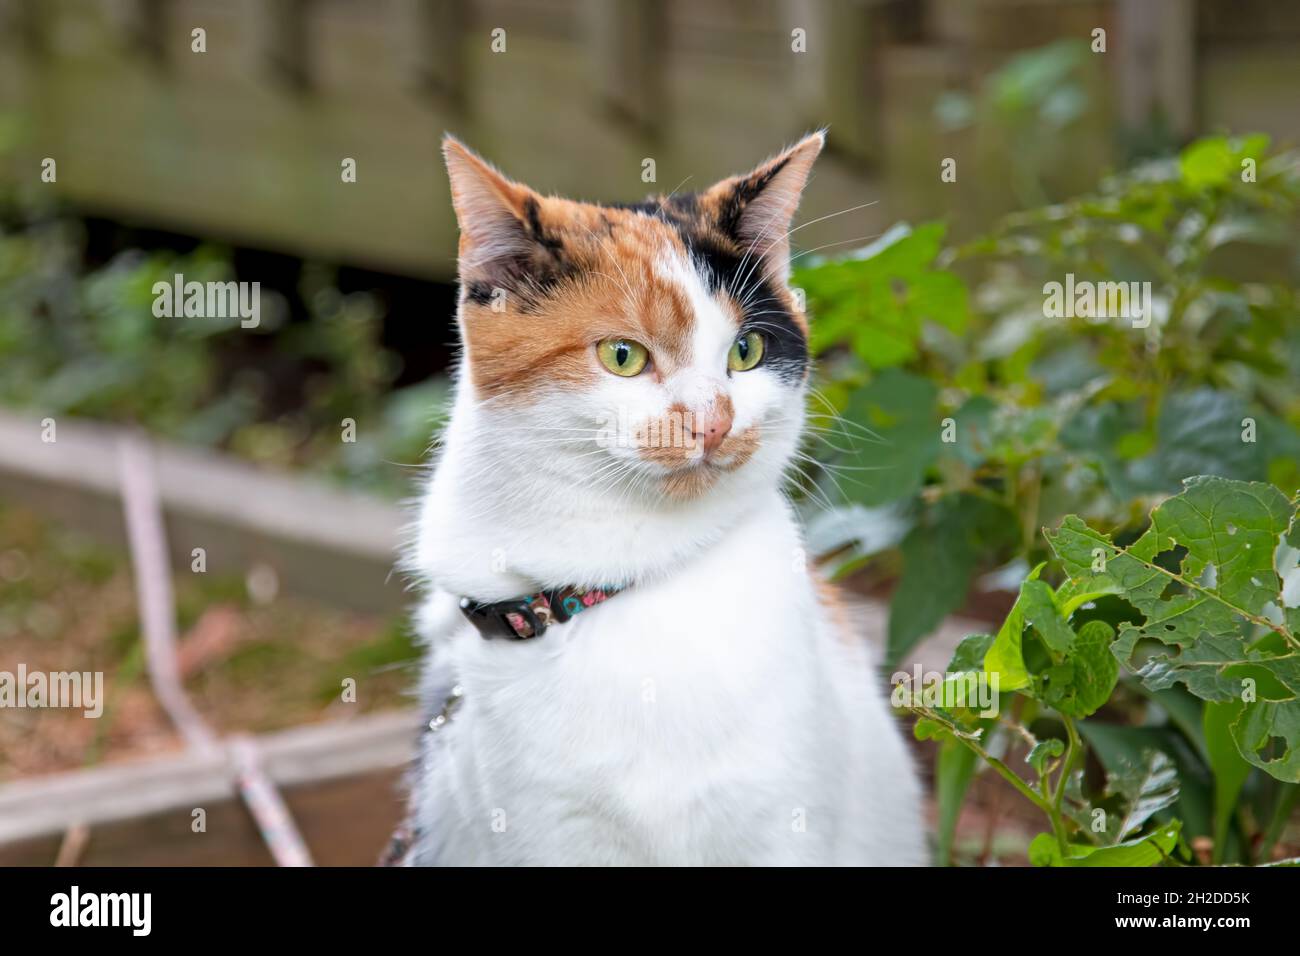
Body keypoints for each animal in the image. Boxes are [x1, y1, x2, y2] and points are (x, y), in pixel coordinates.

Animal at [395, 132, 925, 868]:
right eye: (623, 356)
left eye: (746, 350)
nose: (713, 421)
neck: (629, 578)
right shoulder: (550, 832)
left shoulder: (780, 825)